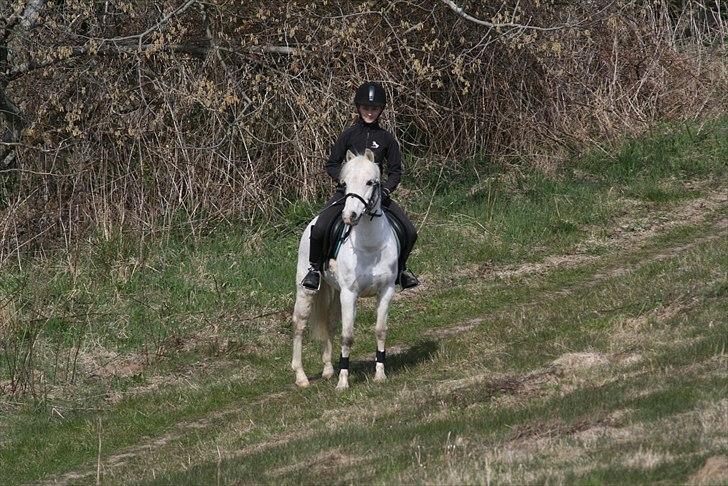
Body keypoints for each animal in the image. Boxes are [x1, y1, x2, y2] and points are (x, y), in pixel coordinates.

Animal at [291, 149, 399, 390]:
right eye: (345, 183)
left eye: (370, 182)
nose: (349, 216)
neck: (369, 245)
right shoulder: (350, 294)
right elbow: (347, 337)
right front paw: (343, 383)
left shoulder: (386, 291)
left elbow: (381, 331)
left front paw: (380, 375)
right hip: (307, 291)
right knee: (299, 325)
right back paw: (301, 377)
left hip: (335, 293)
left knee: (329, 324)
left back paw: (328, 369)